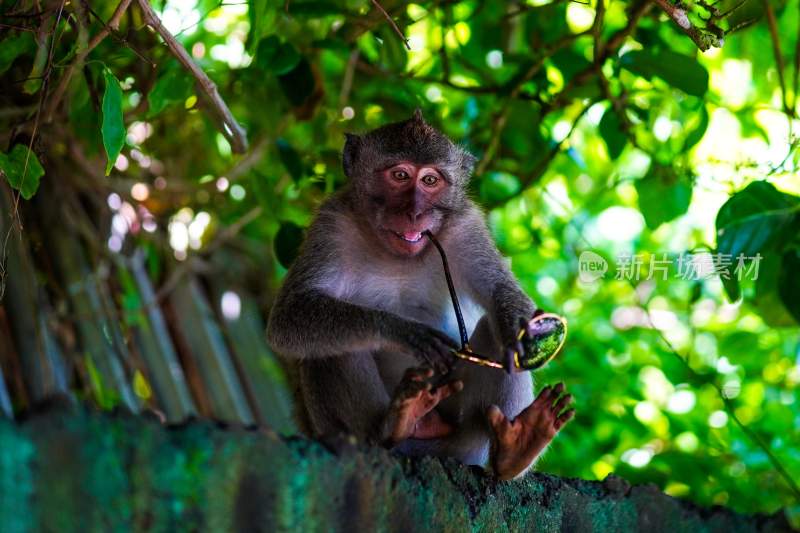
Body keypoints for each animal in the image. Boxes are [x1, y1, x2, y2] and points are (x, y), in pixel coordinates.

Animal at [268, 110, 576, 480]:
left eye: (430, 181)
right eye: (400, 175)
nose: (415, 212)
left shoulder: (465, 228)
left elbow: (500, 291)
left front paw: (521, 329)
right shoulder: (331, 225)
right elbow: (289, 317)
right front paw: (402, 331)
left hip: (462, 436)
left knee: (492, 330)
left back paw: (514, 450)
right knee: (328, 346)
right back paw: (394, 424)